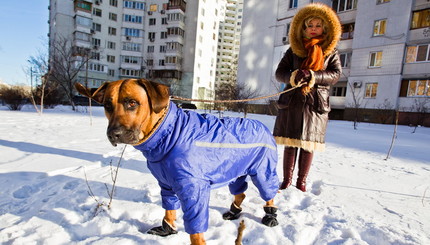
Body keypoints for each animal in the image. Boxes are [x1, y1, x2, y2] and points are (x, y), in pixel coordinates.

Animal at [75, 79, 280, 244]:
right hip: (233, 170)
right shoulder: (166, 183)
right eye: (107, 105)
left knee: (268, 191)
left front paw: (197, 241)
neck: (169, 133)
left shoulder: (193, 188)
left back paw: (270, 215)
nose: (113, 134)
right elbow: (169, 207)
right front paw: (167, 229)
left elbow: (195, 226)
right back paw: (234, 211)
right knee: (240, 191)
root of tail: (261, 125)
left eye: (132, 103)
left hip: (262, 170)